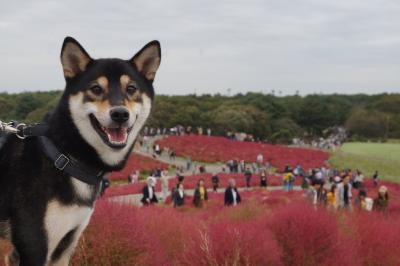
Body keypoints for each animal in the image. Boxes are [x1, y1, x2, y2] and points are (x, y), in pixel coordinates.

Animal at [0, 37, 159, 266]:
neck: (66, 157)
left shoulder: (65, 246)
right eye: (96, 88)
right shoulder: (33, 246)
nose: (120, 114)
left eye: (131, 88)